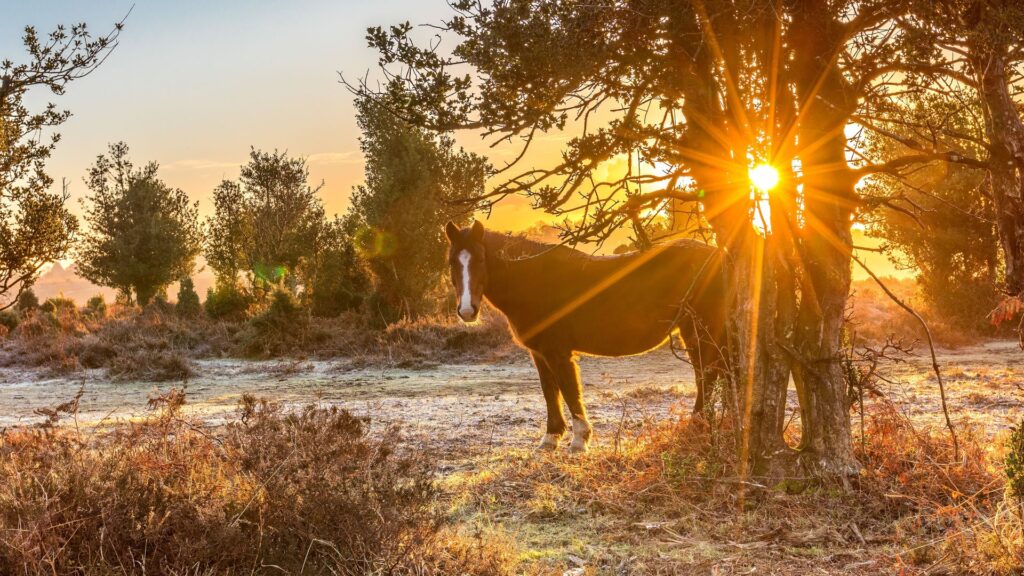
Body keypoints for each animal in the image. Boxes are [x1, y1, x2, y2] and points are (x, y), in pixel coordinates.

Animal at [445, 220, 730, 453]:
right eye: (452, 263)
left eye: (481, 259)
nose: (467, 311)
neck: (535, 281)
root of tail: (719, 256)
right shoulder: (539, 353)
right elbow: (550, 392)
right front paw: (551, 438)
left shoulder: (558, 352)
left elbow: (570, 391)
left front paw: (579, 440)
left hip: (699, 330)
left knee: (708, 374)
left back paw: (697, 424)